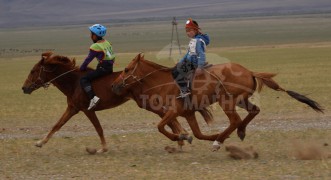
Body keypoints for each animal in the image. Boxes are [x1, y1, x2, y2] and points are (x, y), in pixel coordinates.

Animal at [112, 53, 324, 150]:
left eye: (127, 69)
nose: (114, 85)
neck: (164, 82)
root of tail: (249, 71)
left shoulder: (174, 111)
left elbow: (160, 127)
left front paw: (182, 137)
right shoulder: (188, 113)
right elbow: (197, 134)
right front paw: (190, 136)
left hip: (226, 101)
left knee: (235, 120)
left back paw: (220, 141)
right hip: (240, 100)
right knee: (253, 111)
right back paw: (238, 133)